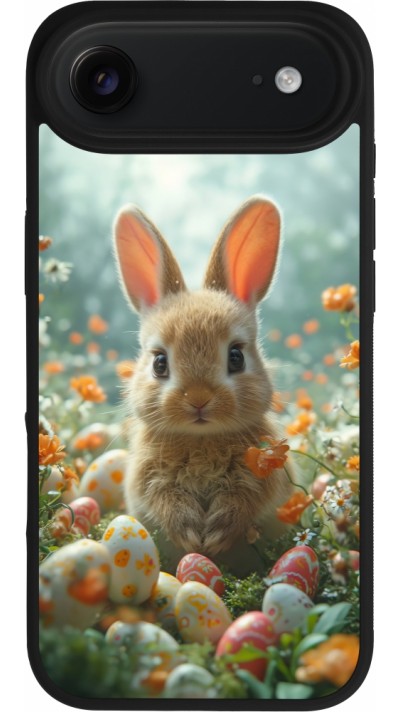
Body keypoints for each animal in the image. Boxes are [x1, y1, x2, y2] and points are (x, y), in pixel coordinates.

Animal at [113, 196, 293, 567]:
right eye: (160, 363)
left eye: (236, 357)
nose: (198, 399)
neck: (201, 439)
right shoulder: (148, 479)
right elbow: (164, 499)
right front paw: (190, 534)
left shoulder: (262, 475)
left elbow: (244, 500)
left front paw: (217, 535)